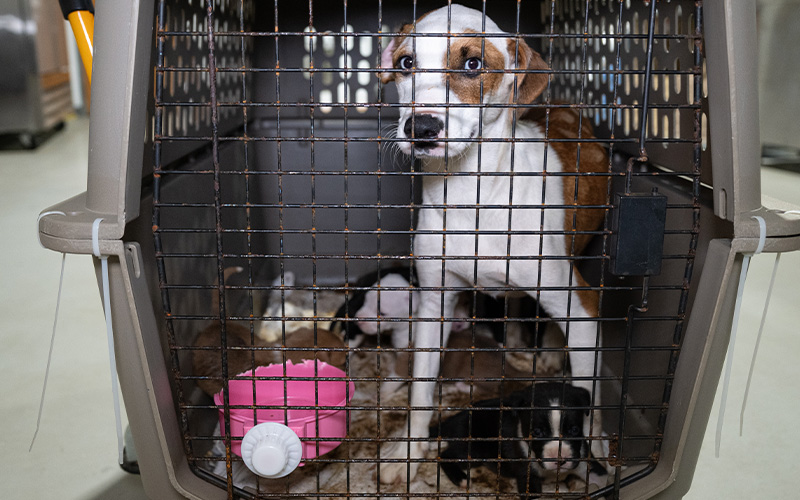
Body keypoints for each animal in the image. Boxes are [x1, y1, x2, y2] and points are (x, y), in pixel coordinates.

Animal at [432, 382, 608, 496]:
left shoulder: (585, 460)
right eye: (537, 432)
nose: (560, 460)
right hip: (473, 450)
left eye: (574, 430)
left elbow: (604, 478)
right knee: (444, 456)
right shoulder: (527, 475)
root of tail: (453, 419)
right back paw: (460, 478)